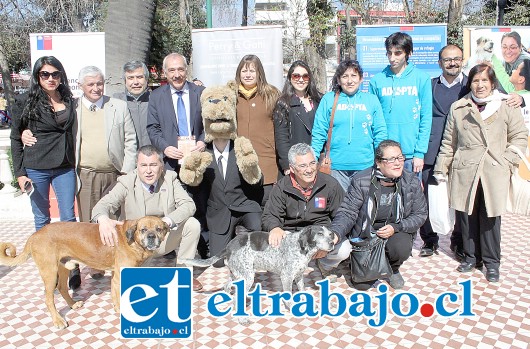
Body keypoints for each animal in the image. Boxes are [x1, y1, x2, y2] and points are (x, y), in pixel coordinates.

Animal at [0, 216, 167, 328]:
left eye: (158, 229)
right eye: (143, 229)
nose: (151, 237)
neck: (133, 241)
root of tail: (35, 235)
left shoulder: (116, 276)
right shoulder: (119, 277)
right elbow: (119, 298)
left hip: (64, 266)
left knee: (62, 287)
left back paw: (73, 304)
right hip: (50, 272)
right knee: (48, 299)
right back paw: (58, 320)